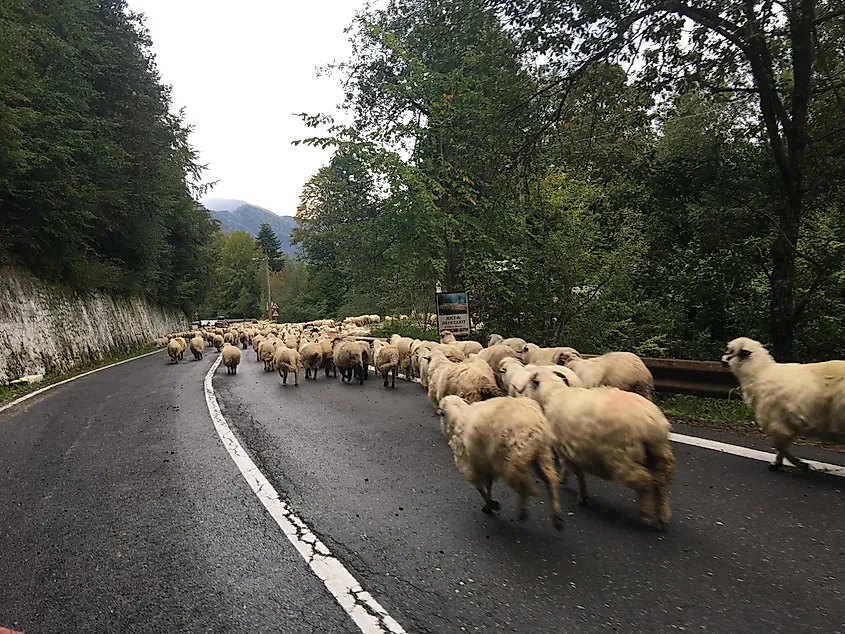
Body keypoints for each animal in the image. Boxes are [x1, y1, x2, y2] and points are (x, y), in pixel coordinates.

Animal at [438, 396, 564, 528]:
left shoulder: (470, 467)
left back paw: (523, 511)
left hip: (514, 459)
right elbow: (488, 484)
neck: (457, 417)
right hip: (543, 454)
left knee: (524, 486)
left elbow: (480, 488)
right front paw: (490, 504)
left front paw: (490, 505)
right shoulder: (485, 464)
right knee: (551, 480)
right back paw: (556, 517)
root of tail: (536, 424)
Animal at [720, 336, 844, 470]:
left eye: (731, 351)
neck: (759, 373)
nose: (722, 360)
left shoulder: (778, 422)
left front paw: (790, 463)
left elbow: (779, 446)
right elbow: (781, 447)